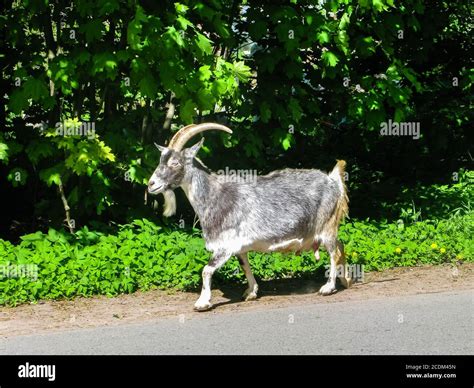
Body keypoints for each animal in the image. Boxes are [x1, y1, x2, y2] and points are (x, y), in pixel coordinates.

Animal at [148, 123, 352, 310]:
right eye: (161, 160)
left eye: (175, 162)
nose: (151, 184)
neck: (215, 196)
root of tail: (333, 181)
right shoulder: (240, 247)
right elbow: (245, 265)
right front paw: (251, 292)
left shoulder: (225, 246)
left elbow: (206, 270)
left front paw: (202, 302)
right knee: (341, 246)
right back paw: (346, 280)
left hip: (326, 226)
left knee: (334, 252)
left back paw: (328, 287)